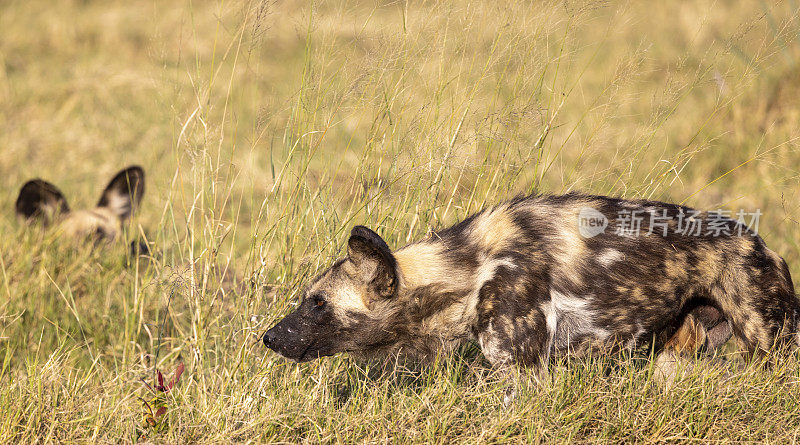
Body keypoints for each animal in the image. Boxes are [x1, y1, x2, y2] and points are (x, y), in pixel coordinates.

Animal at [264, 193, 800, 376]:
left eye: (317, 303)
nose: (268, 337)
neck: (467, 269)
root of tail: (763, 243)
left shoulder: (521, 372)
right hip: (675, 361)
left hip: (773, 349)